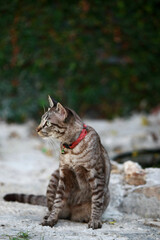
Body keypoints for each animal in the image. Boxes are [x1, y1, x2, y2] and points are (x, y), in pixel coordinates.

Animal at [4, 95, 111, 229]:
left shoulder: (95, 173)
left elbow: (96, 200)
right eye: (41, 120)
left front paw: (95, 220)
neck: (71, 148)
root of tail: (71, 214)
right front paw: (51, 219)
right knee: (51, 206)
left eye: (48, 123)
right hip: (55, 176)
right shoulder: (64, 174)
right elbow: (57, 202)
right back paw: (48, 215)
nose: (37, 129)